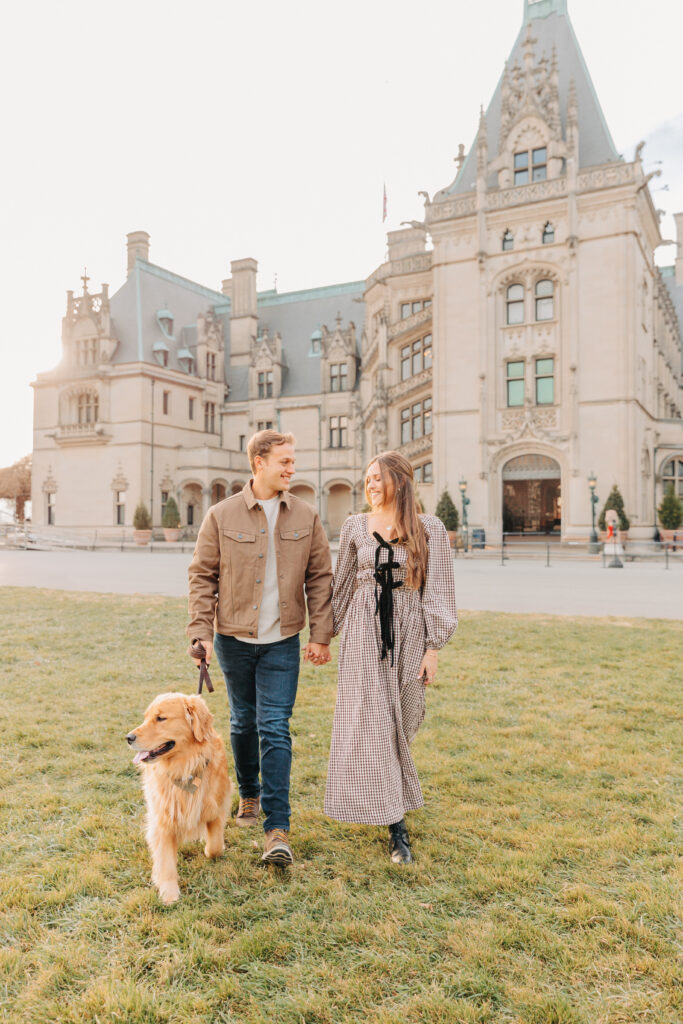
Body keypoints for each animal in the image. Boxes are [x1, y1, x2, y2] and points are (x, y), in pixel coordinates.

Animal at [127, 692, 232, 901]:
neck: (185, 767)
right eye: (146, 717)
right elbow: (166, 860)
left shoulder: (216, 807)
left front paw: (209, 848)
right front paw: (169, 894)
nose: (128, 737)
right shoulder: (163, 818)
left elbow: (215, 846)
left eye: (161, 718)